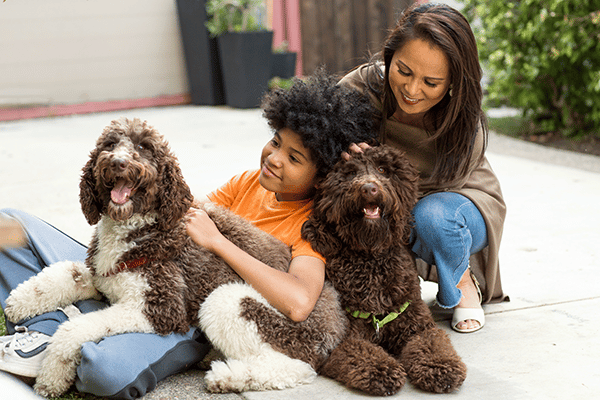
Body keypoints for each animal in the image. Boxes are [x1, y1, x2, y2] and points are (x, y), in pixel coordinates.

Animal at [302, 145, 466, 396]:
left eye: (382, 170)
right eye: (350, 173)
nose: (369, 188)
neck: (372, 260)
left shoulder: (418, 325)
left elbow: (432, 342)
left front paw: (440, 366)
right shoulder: (341, 341)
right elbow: (361, 351)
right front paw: (382, 370)